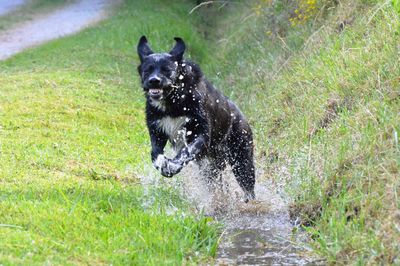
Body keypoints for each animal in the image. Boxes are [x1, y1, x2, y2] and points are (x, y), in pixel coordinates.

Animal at [138, 36, 256, 201]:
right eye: (148, 69)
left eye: (166, 69)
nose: (154, 80)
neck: (174, 102)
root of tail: (240, 115)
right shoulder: (157, 132)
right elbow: (155, 154)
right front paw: (163, 164)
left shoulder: (200, 134)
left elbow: (186, 151)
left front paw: (173, 166)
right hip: (211, 166)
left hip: (242, 160)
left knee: (248, 186)